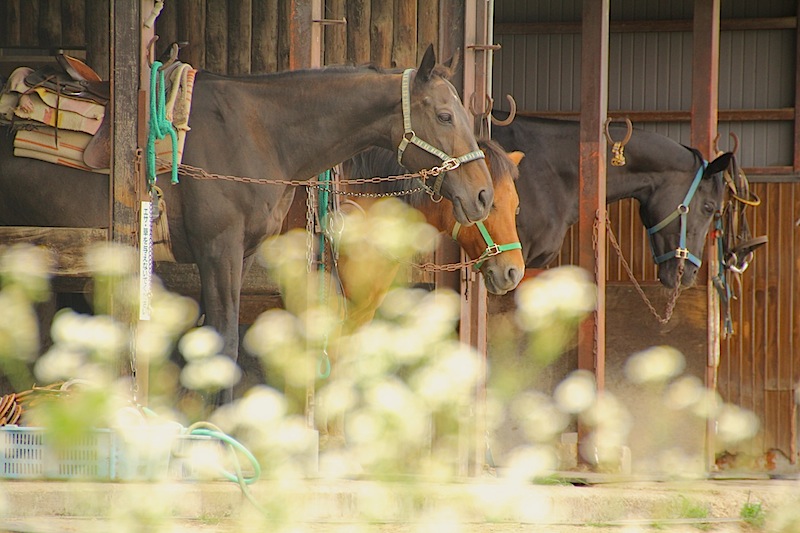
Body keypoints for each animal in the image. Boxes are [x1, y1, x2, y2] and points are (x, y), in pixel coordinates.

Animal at [0, 45, 494, 402]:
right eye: (444, 116)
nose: (483, 195)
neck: (258, 134)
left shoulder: (243, 253)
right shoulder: (218, 251)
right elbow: (225, 344)